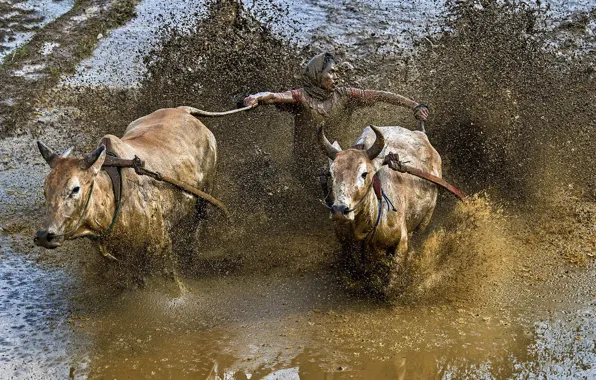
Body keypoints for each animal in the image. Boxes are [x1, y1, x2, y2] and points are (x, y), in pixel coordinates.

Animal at [33, 107, 218, 276]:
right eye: (45, 190)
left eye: (75, 189)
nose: (44, 235)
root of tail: (184, 110)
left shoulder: (161, 246)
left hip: (206, 191)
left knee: (199, 222)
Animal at [318, 124, 440, 294]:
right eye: (331, 173)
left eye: (364, 174)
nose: (339, 211)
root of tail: (421, 135)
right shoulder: (345, 242)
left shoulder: (401, 242)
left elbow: (390, 285)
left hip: (424, 221)